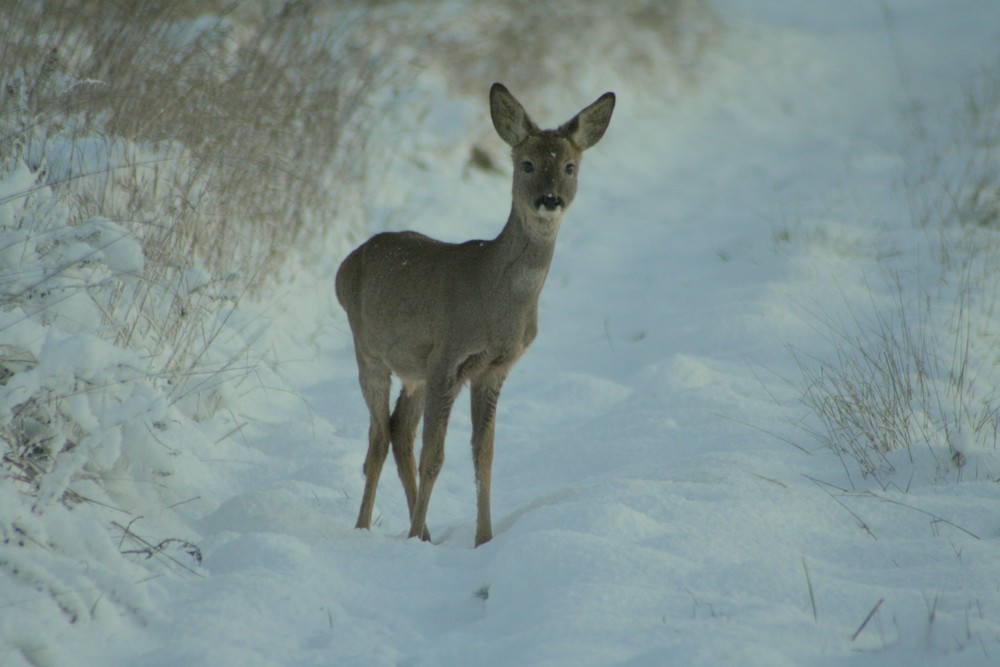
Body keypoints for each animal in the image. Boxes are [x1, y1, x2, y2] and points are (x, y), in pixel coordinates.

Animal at [338, 82, 616, 548]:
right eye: (527, 163)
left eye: (570, 166)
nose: (549, 199)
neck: (494, 301)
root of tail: (345, 264)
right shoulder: (448, 357)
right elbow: (435, 456)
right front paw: (419, 538)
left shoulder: (491, 369)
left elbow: (483, 455)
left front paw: (482, 539)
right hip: (370, 352)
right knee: (378, 438)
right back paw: (364, 527)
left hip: (414, 369)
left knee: (399, 431)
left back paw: (424, 533)